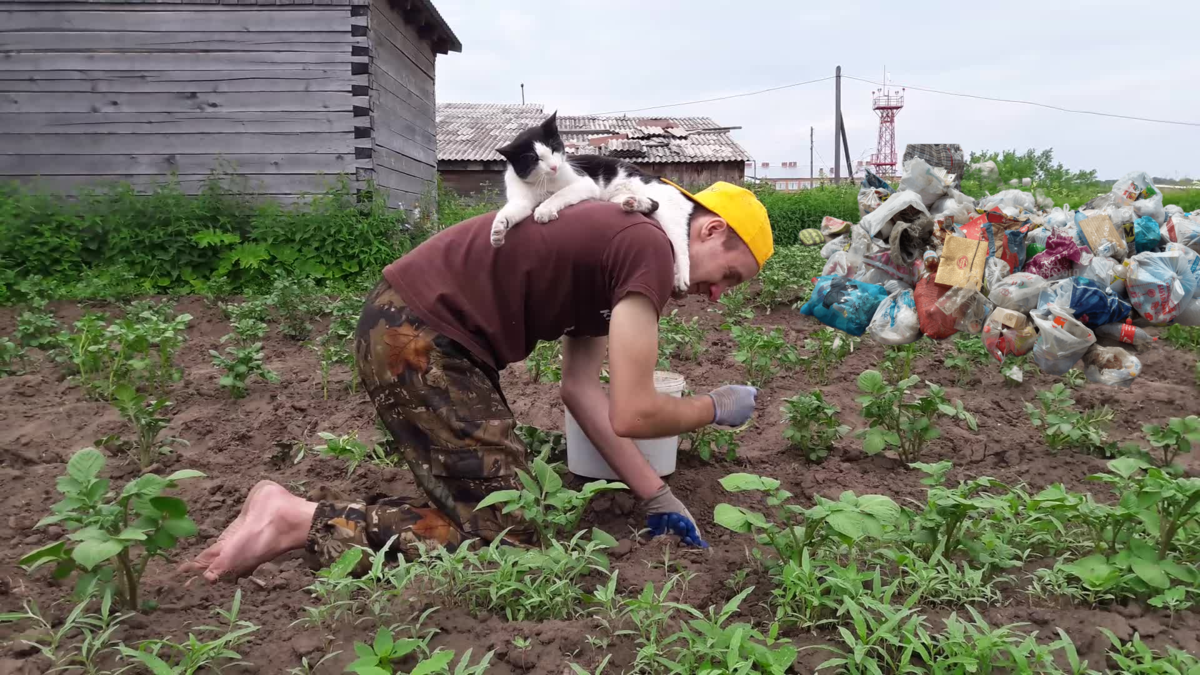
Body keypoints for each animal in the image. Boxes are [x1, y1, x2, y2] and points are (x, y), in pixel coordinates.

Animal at [489, 111, 696, 290]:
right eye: (534, 159)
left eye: (554, 150)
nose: (554, 167)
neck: (542, 183)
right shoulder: (521, 198)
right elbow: (511, 210)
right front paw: (498, 230)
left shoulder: (585, 183)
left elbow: (559, 194)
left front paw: (544, 209)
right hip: (617, 198)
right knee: (650, 204)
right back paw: (633, 203)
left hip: (668, 212)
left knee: (679, 242)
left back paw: (681, 278)